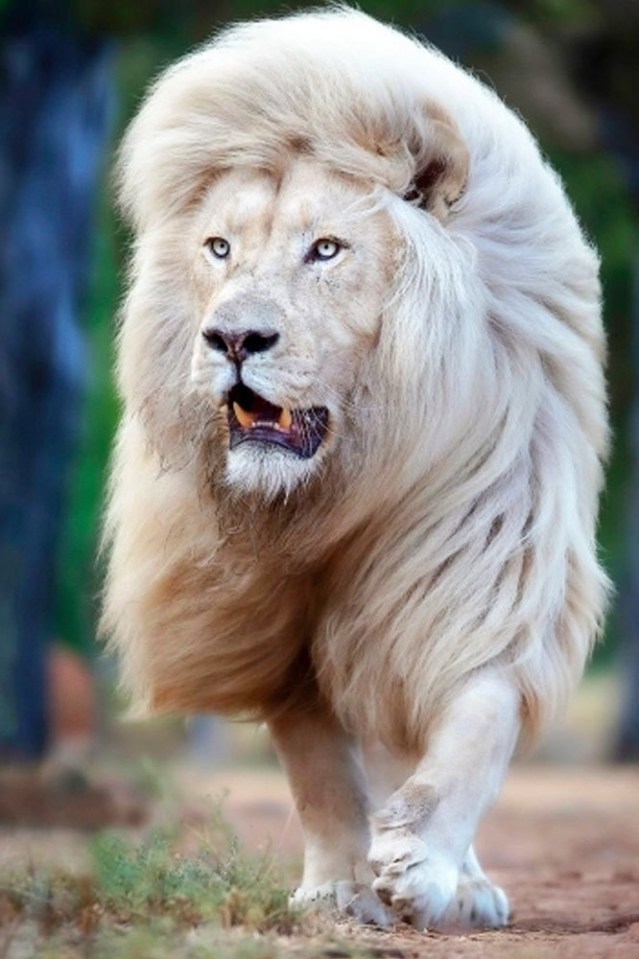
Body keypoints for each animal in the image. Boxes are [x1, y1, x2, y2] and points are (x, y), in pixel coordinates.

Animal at [104, 7, 608, 928]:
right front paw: (340, 888)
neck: (340, 484)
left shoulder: (485, 565)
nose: (232, 338)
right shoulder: (265, 616)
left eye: (326, 249)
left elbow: (476, 722)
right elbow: (319, 770)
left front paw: (423, 866)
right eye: (219, 248)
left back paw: (464, 886)